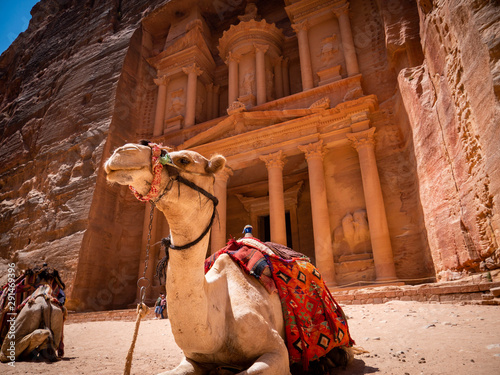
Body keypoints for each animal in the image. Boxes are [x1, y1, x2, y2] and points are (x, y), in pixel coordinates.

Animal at [104, 142, 352, 374]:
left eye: (184, 160)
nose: (123, 152)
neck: (215, 327)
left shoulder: (277, 351)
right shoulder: (192, 359)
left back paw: (329, 360)